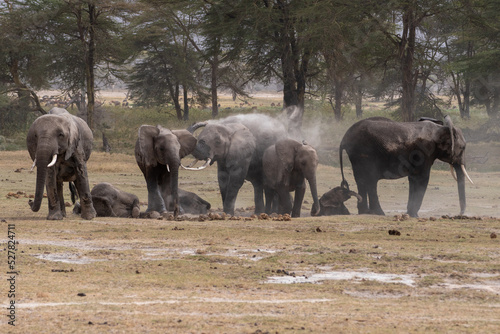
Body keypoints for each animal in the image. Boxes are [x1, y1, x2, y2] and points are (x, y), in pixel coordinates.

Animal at [340, 116, 472, 218]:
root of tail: (344, 138)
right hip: (365, 154)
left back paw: (366, 212)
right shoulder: (424, 152)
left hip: (357, 156)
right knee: (370, 181)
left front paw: (410, 213)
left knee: (362, 180)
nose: (460, 214)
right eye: (463, 148)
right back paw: (378, 213)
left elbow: (413, 178)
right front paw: (414, 215)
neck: (441, 128)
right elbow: (423, 178)